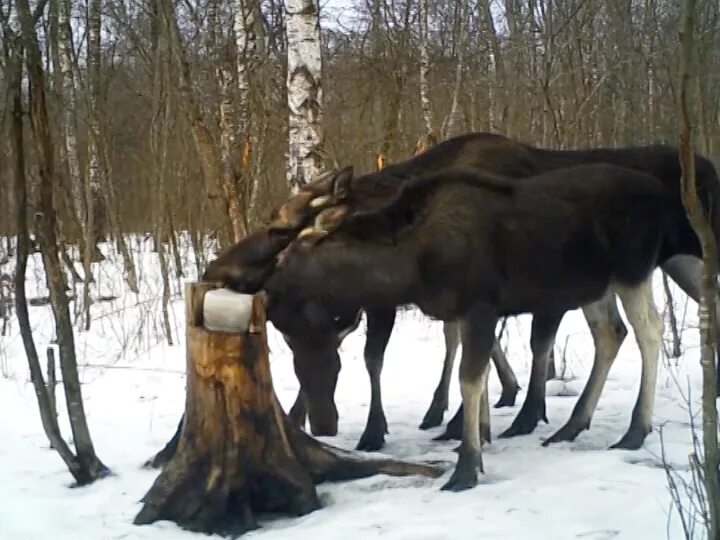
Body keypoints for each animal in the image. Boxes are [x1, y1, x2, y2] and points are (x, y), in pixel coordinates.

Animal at [252, 162, 692, 492]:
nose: (265, 291)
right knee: (610, 334)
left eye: (287, 255)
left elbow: (469, 378)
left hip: (633, 270)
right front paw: (479, 439)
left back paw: (635, 429)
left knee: (649, 332)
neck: (409, 267)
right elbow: (474, 374)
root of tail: (663, 196)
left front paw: (466, 466)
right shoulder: (465, 313)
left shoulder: (480, 306)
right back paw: (571, 425)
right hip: (595, 283)